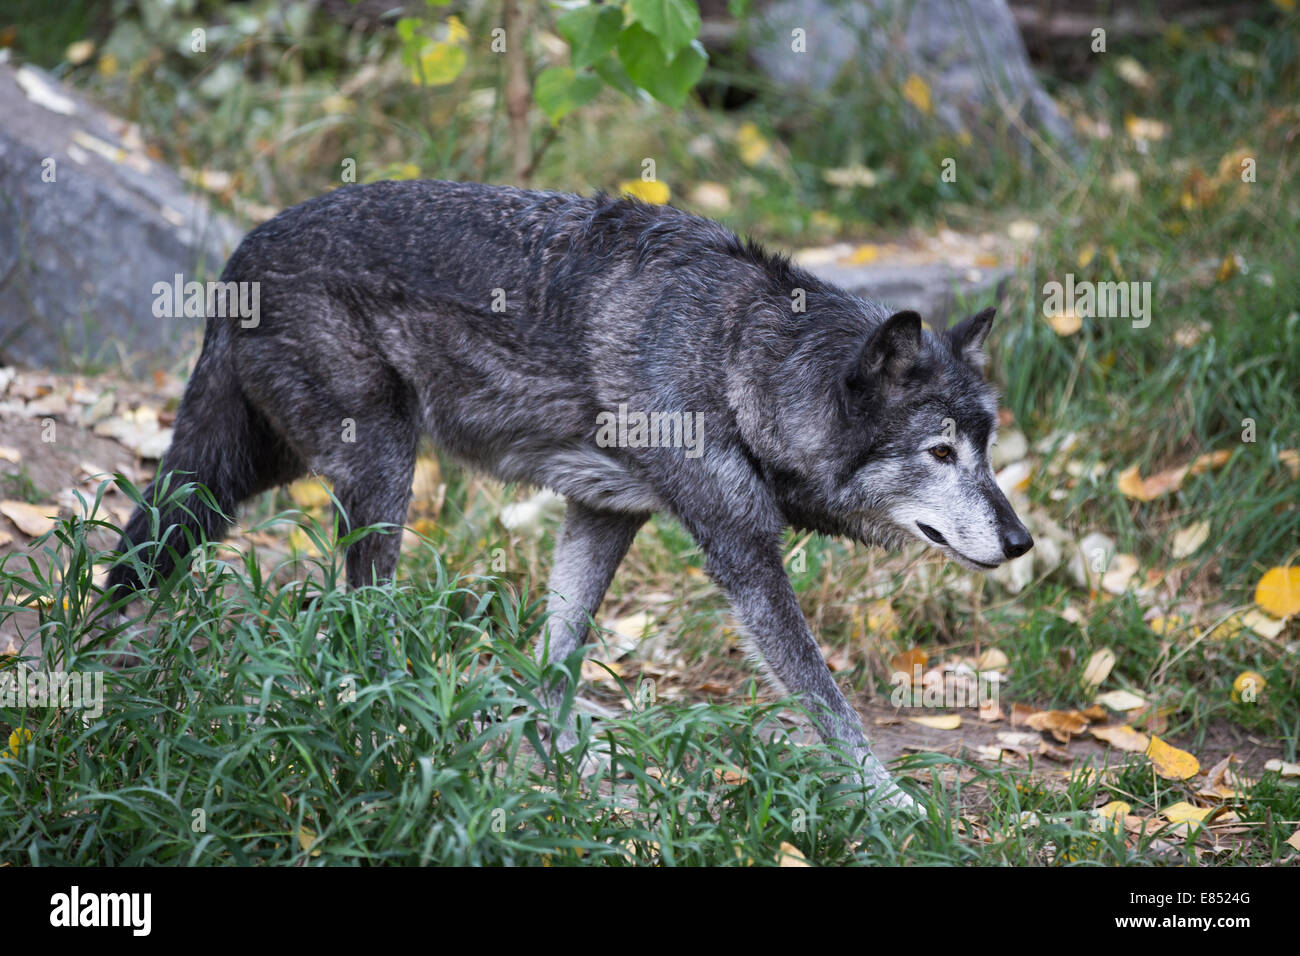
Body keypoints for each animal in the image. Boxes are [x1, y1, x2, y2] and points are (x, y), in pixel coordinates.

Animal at [106, 178, 1029, 806]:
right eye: (939, 451)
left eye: (984, 448)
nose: (1020, 542)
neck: (738, 360)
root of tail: (242, 252)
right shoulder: (744, 557)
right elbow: (830, 707)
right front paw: (894, 807)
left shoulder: (604, 515)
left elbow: (556, 658)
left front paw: (557, 767)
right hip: (379, 474)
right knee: (354, 620)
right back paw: (384, 723)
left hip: (235, 476)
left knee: (134, 554)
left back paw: (98, 666)